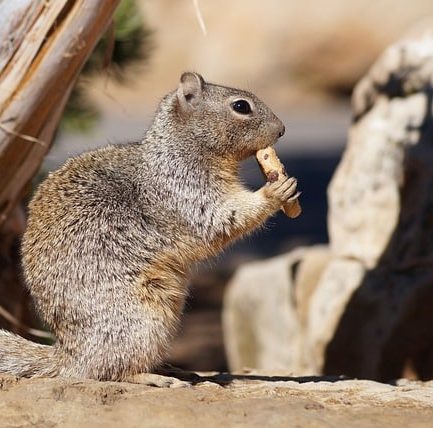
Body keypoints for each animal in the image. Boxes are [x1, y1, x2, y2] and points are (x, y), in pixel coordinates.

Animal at [0, 72, 298, 382]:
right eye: (241, 106)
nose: (282, 130)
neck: (181, 148)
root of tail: (69, 357)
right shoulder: (187, 190)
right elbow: (222, 217)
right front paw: (275, 191)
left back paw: (170, 368)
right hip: (141, 320)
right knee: (109, 371)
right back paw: (154, 378)